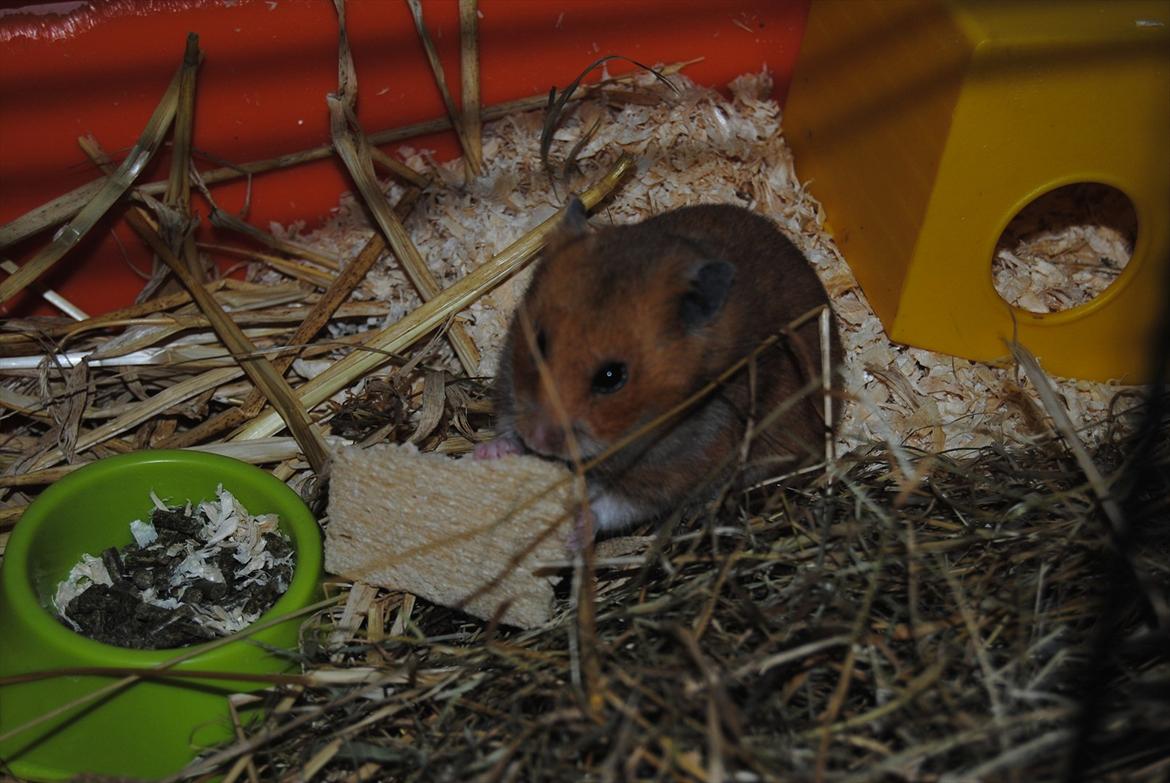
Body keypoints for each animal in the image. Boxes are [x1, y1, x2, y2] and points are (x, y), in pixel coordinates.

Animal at [475, 201, 841, 536]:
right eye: (539, 342)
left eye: (611, 377)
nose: (537, 441)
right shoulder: (510, 386)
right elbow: (507, 424)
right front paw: (492, 451)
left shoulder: (675, 469)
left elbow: (618, 504)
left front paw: (578, 526)